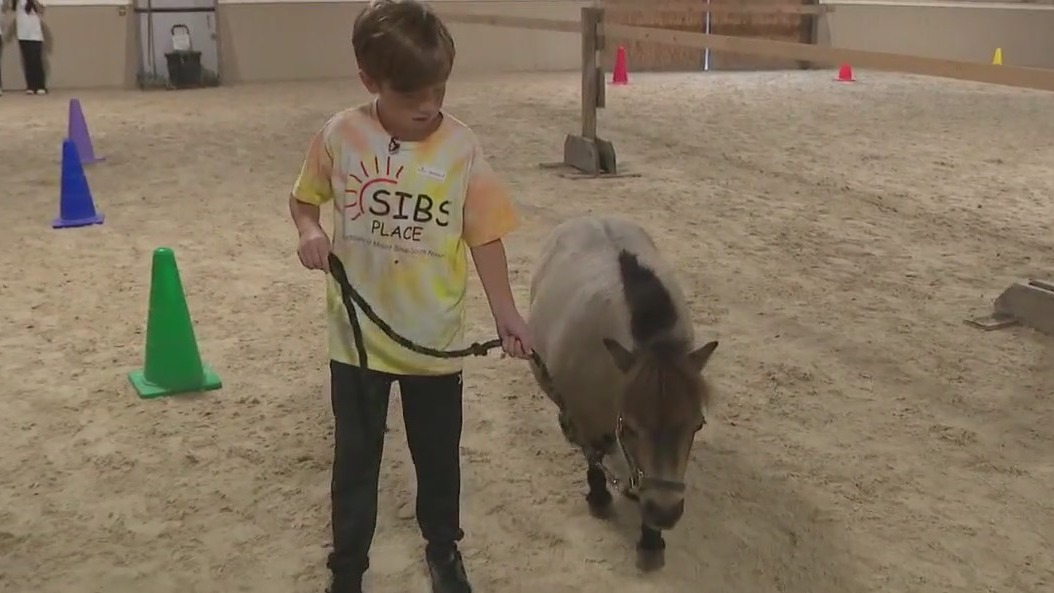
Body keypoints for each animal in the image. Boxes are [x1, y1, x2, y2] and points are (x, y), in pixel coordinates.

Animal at [526, 214, 718, 570]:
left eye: (697, 425)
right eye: (630, 426)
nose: (664, 511)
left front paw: (651, 538)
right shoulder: (585, 414)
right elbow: (593, 456)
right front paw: (600, 497)